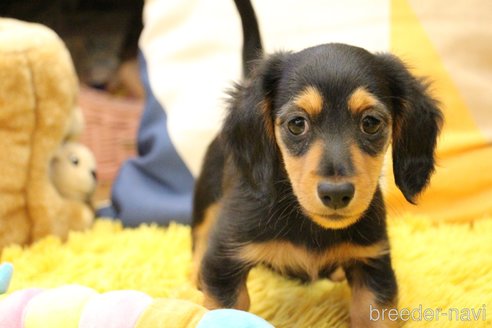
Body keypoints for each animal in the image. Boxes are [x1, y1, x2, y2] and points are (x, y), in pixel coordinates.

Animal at [191, 42, 442, 326]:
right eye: (297, 123)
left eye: (371, 123)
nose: (336, 194)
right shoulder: (224, 262)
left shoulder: (374, 266)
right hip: (207, 197)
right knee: (200, 233)